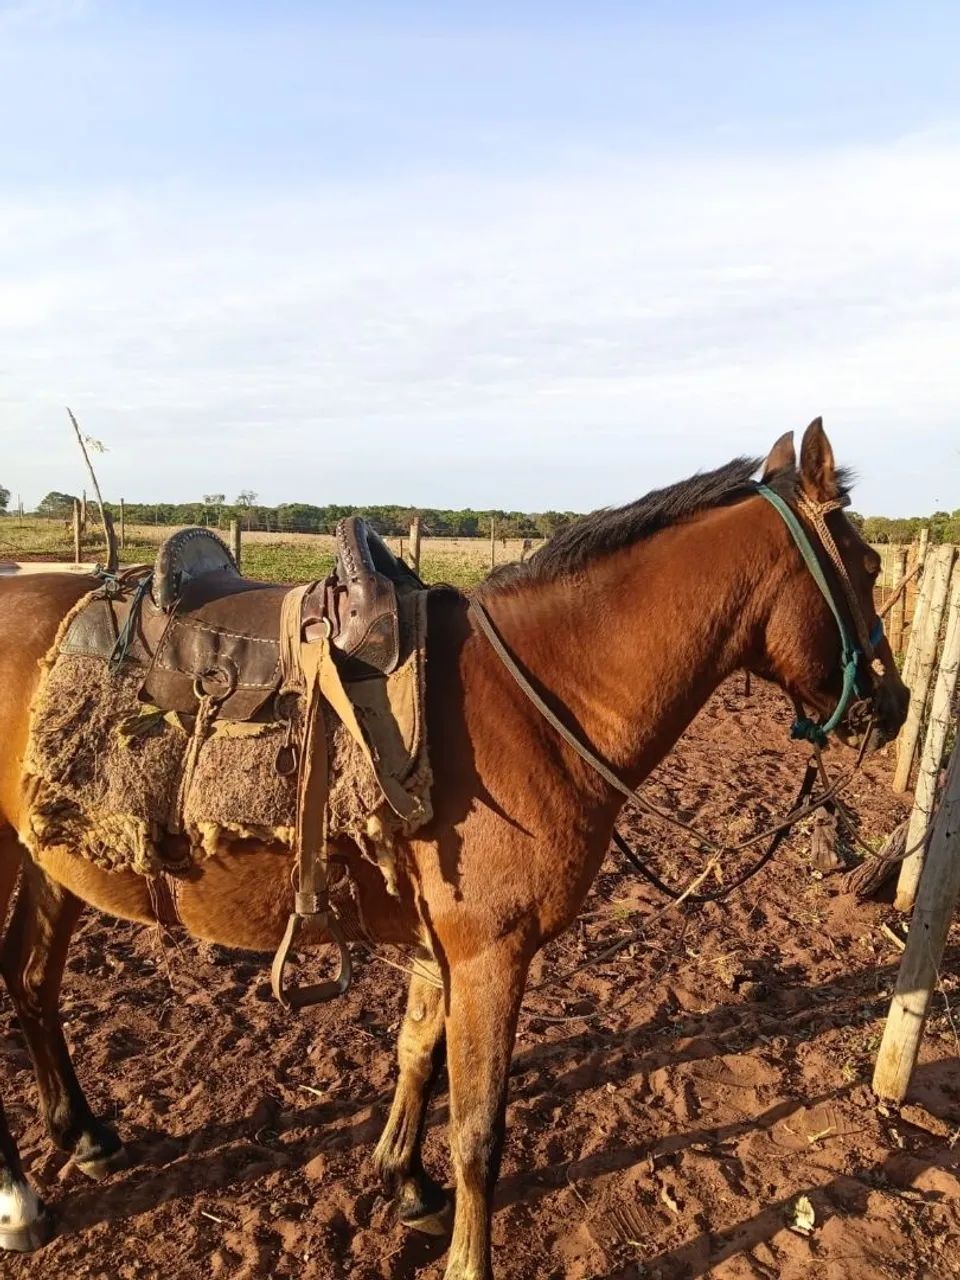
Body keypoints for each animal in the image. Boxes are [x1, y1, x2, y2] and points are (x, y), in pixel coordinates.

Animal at [0, 419, 908, 1278]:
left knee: (31, 980)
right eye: (866, 565)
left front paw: (404, 1184)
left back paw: (83, 1134)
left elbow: (415, 1054)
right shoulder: (493, 955)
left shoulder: (446, 949)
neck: (535, 700)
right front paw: (469, 1259)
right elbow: (478, 1131)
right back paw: (19, 1201)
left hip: (50, 860)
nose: (894, 703)